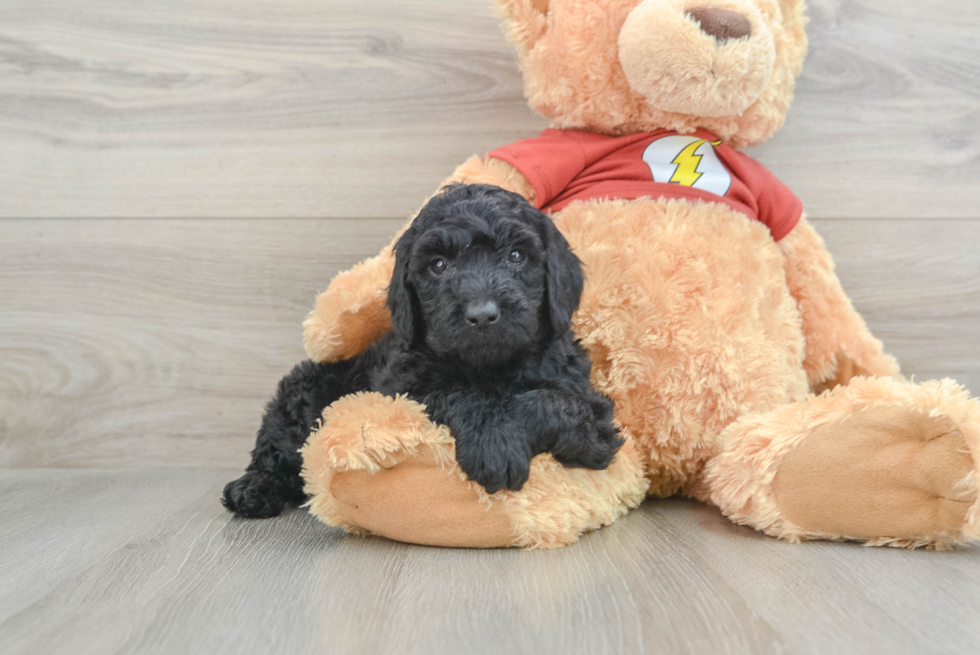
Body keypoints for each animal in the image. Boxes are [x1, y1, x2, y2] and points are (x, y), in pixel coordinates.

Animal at [224, 183, 620, 516]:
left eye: (517, 256)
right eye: (439, 265)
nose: (482, 314)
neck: (489, 366)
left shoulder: (593, 414)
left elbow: (551, 401)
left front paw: (502, 441)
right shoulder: (405, 389)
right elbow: (460, 394)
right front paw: (494, 445)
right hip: (304, 392)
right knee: (277, 446)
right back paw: (252, 489)